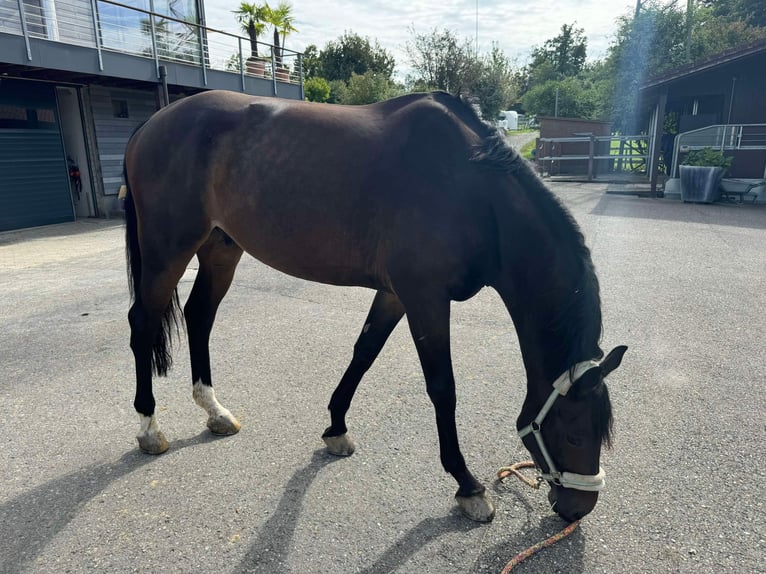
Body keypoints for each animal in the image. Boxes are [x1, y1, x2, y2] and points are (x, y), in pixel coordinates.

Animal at [124, 90, 632, 528]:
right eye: (574, 434)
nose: (578, 508)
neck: (469, 188)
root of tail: (152, 123)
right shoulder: (425, 298)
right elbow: (443, 388)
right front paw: (467, 485)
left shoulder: (394, 295)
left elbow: (363, 353)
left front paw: (335, 429)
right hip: (168, 249)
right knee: (142, 323)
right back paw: (149, 427)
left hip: (220, 247)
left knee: (199, 316)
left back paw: (214, 410)